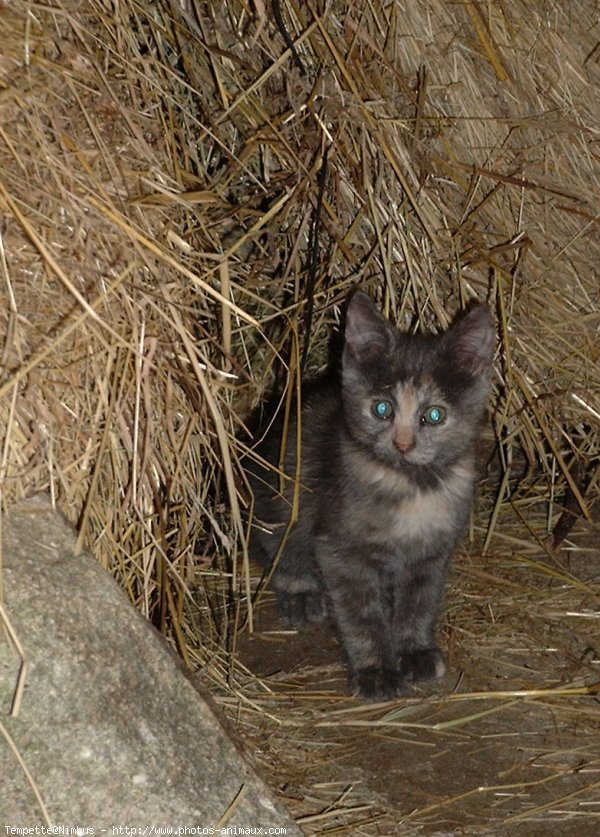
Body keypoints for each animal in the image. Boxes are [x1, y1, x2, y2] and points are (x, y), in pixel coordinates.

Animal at [246, 290, 494, 696]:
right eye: (381, 409)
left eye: (435, 415)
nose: (403, 443)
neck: (409, 484)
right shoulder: (341, 550)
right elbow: (361, 614)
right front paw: (375, 670)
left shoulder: (432, 550)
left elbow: (419, 602)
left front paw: (414, 650)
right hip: (279, 491)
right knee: (279, 543)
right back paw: (301, 592)